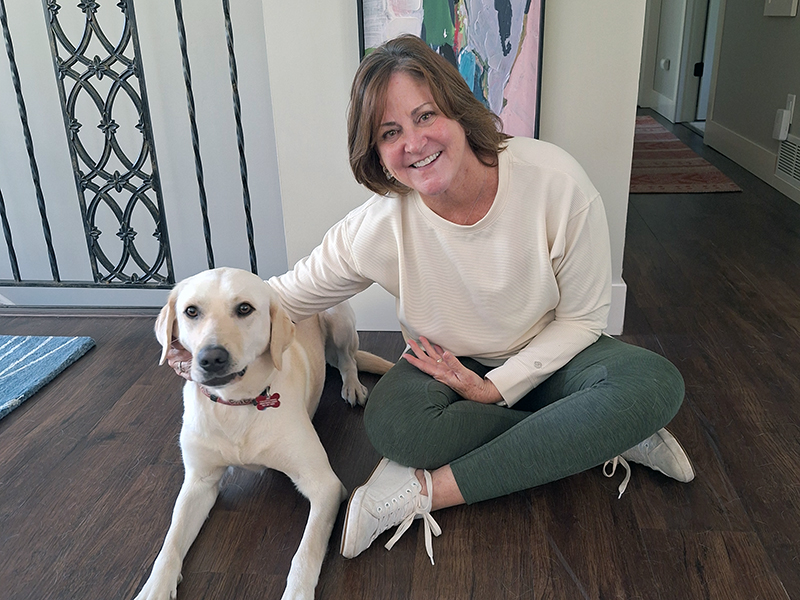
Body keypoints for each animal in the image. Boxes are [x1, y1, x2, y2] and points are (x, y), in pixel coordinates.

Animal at [136, 268, 392, 600]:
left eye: (244, 308)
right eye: (191, 311)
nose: (211, 358)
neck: (236, 404)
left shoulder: (325, 486)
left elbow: (306, 551)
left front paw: (297, 593)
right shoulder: (198, 483)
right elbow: (170, 542)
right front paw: (155, 588)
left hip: (339, 320)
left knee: (348, 360)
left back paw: (353, 386)